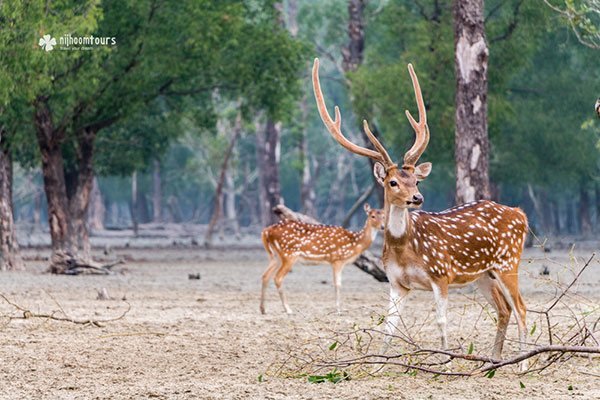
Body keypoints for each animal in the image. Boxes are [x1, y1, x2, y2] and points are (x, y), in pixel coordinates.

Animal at [312, 57, 528, 370]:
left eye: (416, 181)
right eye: (393, 182)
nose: (417, 198)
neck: (405, 249)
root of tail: (520, 214)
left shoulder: (441, 274)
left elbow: (442, 321)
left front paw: (446, 363)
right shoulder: (396, 282)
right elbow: (388, 326)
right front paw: (377, 365)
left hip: (508, 261)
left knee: (521, 307)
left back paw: (523, 363)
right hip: (483, 274)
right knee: (503, 309)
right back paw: (493, 361)